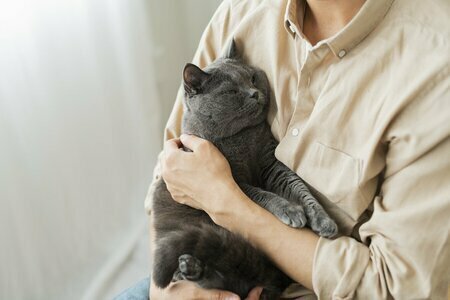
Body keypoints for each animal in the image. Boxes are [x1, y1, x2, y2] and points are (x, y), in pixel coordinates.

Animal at [152, 40, 338, 300]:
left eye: (252, 77)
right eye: (231, 91)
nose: (254, 93)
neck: (242, 137)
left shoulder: (270, 162)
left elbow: (299, 188)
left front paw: (323, 220)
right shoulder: (235, 181)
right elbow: (263, 195)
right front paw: (291, 211)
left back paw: (193, 268)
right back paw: (188, 269)